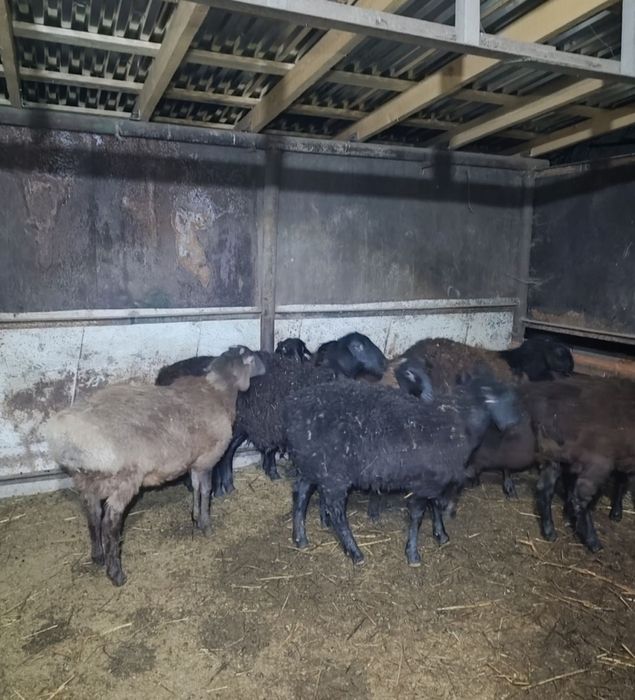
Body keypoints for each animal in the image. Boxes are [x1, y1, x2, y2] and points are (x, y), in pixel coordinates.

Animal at [44, 346, 265, 586]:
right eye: (253, 358)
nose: (266, 366)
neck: (218, 391)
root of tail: (68, 438)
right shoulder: (207, 459)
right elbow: (206, 491)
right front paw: (206, 525)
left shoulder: (195, 462)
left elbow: (196, 488)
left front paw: (195, 517)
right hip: (125, 479)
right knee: (110, 522)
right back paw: (116, 573)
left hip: (88, 480)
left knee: (93, 514)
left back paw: (98, 556)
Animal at [284, 374, 521, 566]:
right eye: (492, 399)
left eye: (511, 398)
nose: (512, 424)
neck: (458, 423)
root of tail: (293, 408)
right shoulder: (424, 482)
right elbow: (417, 516)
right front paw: (413, 554)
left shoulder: (434, 480)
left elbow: (435, 505)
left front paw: (441, 534)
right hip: (334, 472)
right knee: (336, 511)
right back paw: (355, 552)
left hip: (313, 464)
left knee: (301, 493)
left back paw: (301, 539)